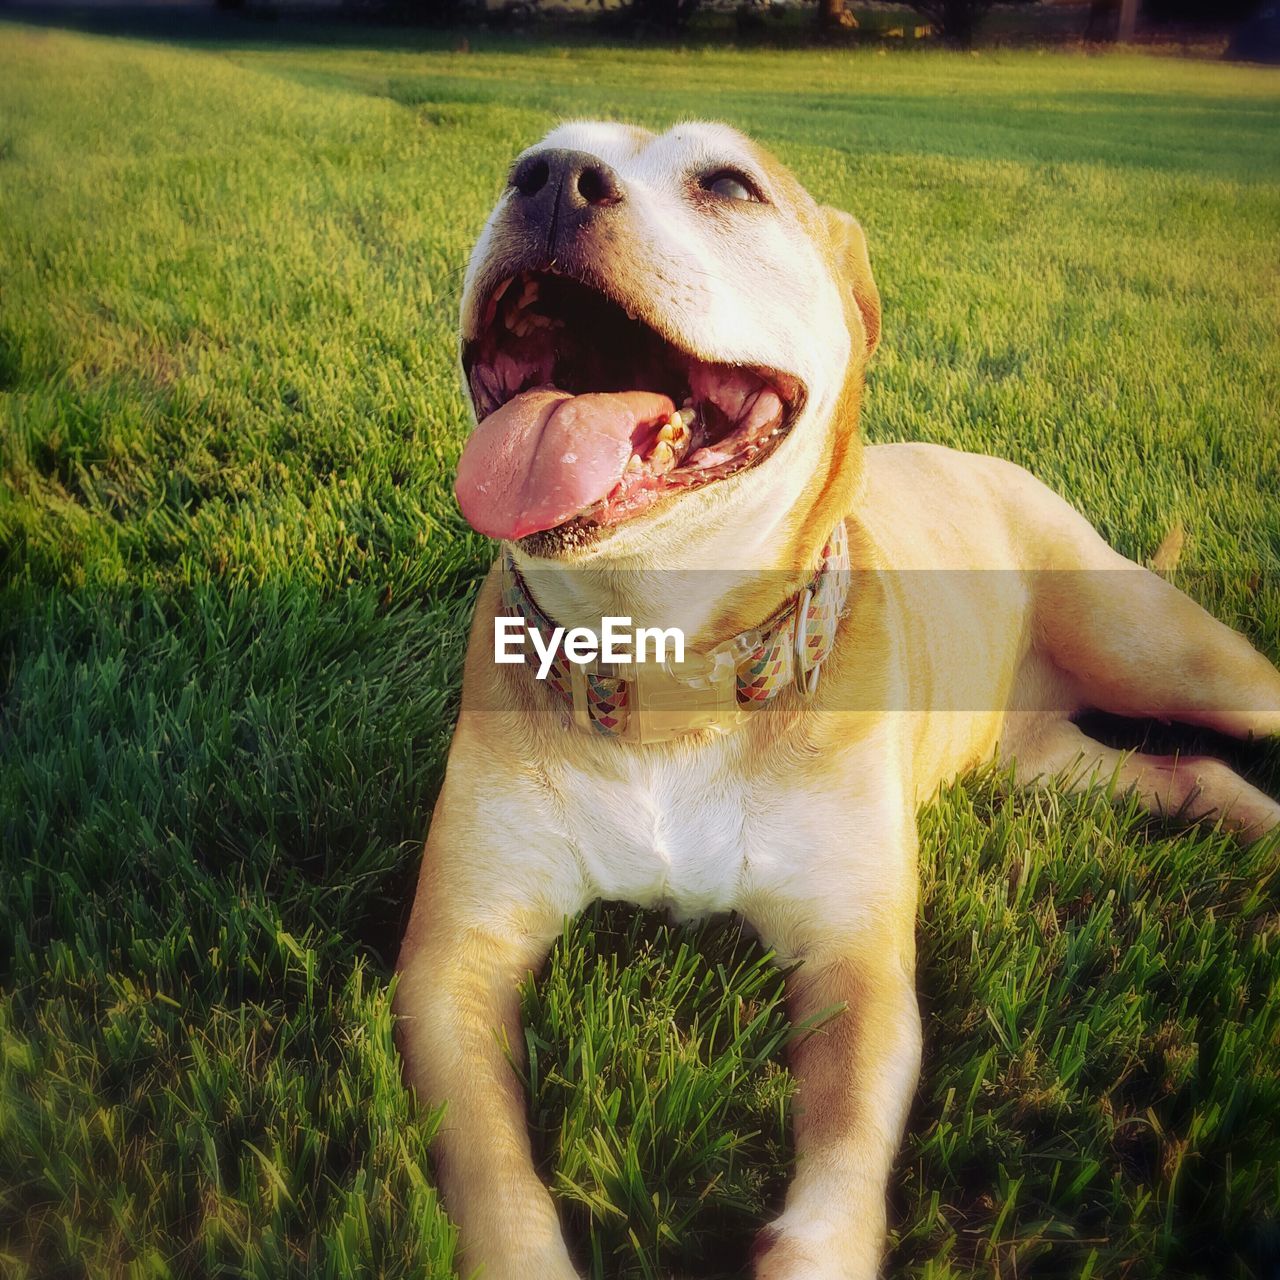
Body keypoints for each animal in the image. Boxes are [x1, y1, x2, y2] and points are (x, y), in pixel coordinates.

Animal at [391, 122, 1280, 1280]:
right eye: (527, 157)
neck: (669, 664)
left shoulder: (852, 962)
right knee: (1184, 771)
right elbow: (490, 1168)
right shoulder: (456, 963)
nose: (547, 181)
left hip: (1162, 653)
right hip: (1050, 760)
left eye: (729, 184)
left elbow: (843, 1148)